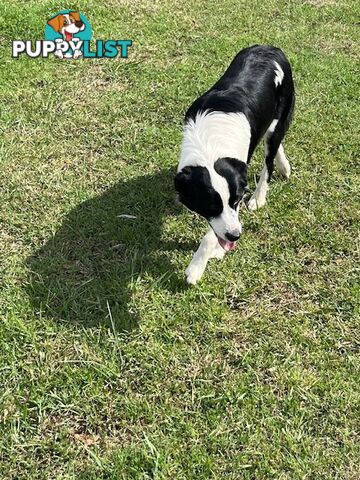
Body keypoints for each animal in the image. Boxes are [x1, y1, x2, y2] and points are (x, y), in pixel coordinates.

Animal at [174, 45, 296, 284]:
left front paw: (196, 267)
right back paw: (284, 165)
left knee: (269, 160)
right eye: (210, 205)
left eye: (237, 200)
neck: (210, 149)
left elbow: (211, 235)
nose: (236, 236)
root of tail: (271, 48)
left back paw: (259, 196)